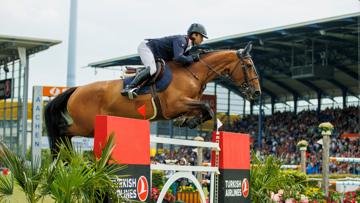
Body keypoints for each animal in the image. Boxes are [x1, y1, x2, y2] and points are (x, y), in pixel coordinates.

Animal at [44, 42, 262, 154]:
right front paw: (191, 122)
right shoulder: (174, 105)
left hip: (89, 127)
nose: (257, 93)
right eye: (249, 65)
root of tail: (76, 89)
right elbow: (207, 107)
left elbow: (204, 109)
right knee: (62, 132)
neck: (193, 73)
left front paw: (187, 121)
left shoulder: (185, 104)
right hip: (85, 126)